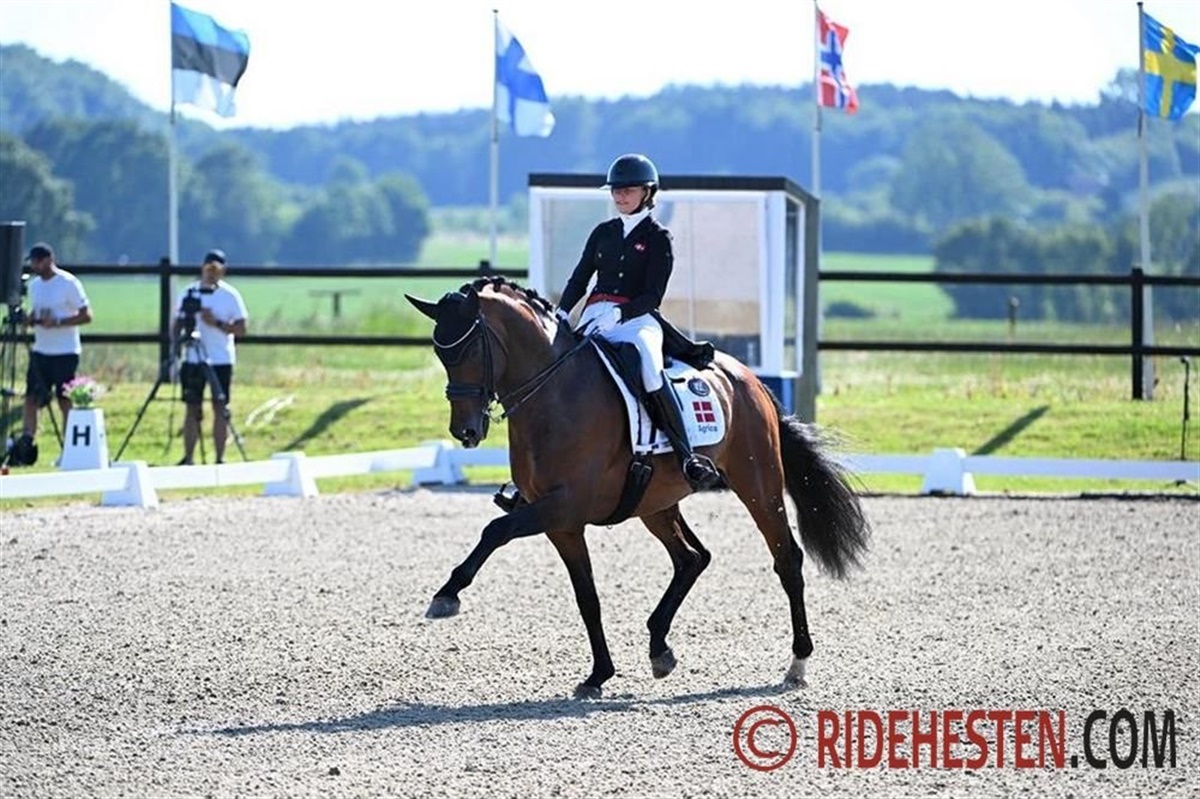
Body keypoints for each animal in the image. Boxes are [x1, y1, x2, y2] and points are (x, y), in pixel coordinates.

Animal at [406, 276, 871, 699]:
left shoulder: (563, 506)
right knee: (692, 558)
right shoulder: (561, 523)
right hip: (656, 503)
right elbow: (587, 598)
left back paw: (797, 664)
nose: (465, 432)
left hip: (758, 483)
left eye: (468, 349)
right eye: (440, 353)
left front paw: (446, 595)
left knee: (786, 559)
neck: (553, 393)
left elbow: (494, 531)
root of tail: (748, 378)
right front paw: (598, 675)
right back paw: (659, 648)